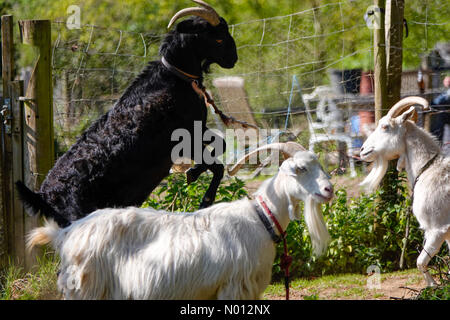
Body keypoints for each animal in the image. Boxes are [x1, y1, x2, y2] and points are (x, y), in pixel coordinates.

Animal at [15, 1, 237, 229]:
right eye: (218, 38)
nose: (233, 59)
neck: (174, 78)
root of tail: (44, 196)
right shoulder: (186, 137)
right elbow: (218, 166)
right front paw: (202, 195)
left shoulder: (199, 128)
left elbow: (222, 145)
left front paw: (193, 174)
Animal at [27, 142, 330, 300]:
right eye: (300, 169)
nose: (329, 190)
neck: (261, 218)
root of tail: (66, 233)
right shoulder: (233, 288)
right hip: (86, 289)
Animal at [358, 95, 450, 288]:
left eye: (385, 126)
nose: (362, 151)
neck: (428, 169)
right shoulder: (447, 233)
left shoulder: (437, 229)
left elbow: (420, 262)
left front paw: (432, 286)